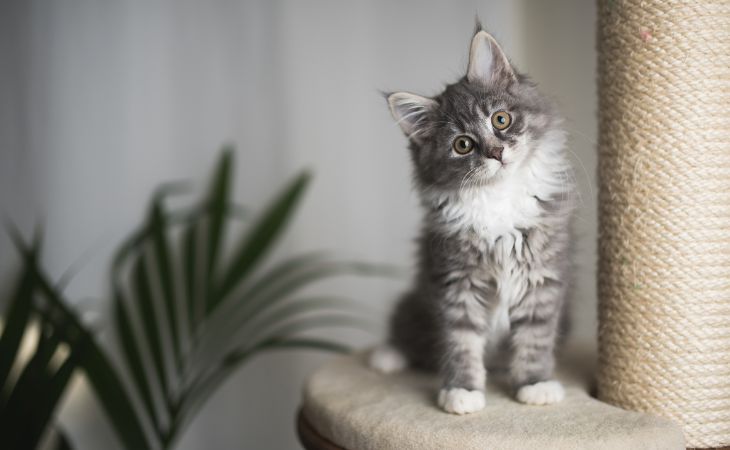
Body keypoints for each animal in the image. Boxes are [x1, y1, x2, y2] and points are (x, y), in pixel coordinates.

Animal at [370, 22, 576, 414]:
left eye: (501, 119)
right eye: (462, 145)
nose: (496, 153)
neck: (497, 197)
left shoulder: (541, 277)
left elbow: (535, 337)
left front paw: (535, 383)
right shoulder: (455, 280)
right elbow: (460, 341)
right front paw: (462, 391)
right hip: (415, 302)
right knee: (407, 334)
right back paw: (387, 355)